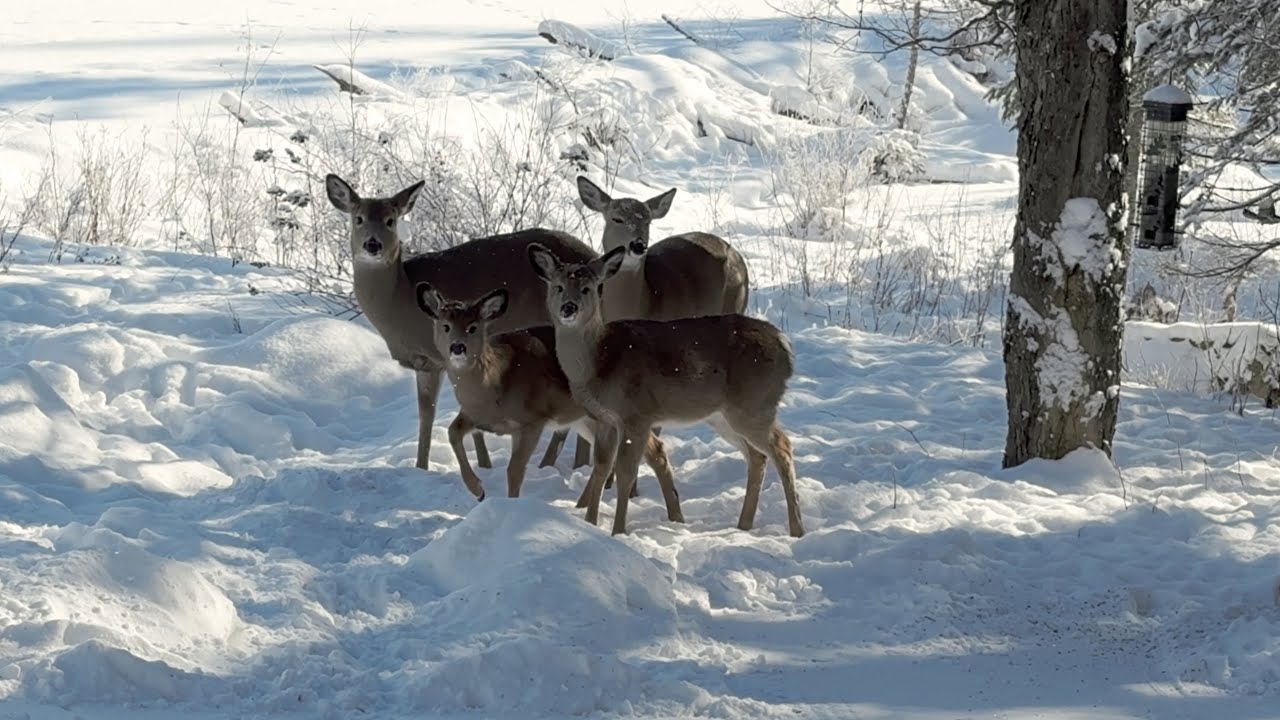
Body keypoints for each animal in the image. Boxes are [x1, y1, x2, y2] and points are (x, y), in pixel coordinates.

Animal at [324, 172, 593, 473]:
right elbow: (426, 415)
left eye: (390, 220)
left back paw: (568, 465)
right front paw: (426, 466)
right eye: (358, 218)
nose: (373, 245)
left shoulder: (440, 357)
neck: (400, 301)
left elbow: (437, 413)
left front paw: (474, 465)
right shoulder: (425, 362)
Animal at [414, 282, 683, 521]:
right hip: (590, 418)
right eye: (445, 325)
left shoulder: (533, 419)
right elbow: (452, 432)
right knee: (640, 451)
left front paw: (506, 506)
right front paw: (478, 490)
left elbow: (514, 470)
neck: (495, 384)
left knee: (650, 450)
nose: (457, 348)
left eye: (472, 327)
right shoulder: (474, 415)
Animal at [528, 243, 806, 539]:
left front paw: (618, 531)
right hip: (724, 415)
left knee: (782, 448)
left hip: (755, 404)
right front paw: (590, 524)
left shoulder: (637, 414)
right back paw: (743, 525)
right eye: (558, 286)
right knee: (757, 455)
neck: (600, 361)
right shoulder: (605, 419)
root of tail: (784, 344)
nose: (569, 307)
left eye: (588, 288)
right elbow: (602, 468)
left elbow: (625, 473)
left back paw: (796, 529)